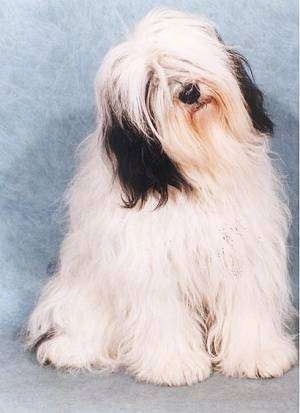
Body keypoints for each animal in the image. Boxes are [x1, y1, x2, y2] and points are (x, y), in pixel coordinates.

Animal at [26, 8, 298, 384]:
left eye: (186, 60)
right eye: (151, 81)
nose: (189, 90)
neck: (195, 174)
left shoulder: (243, 253)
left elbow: (247, 304)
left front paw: (257, 355)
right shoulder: (152, 264)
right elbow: (163, 316)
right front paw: (174, 363)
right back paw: (68, 350)